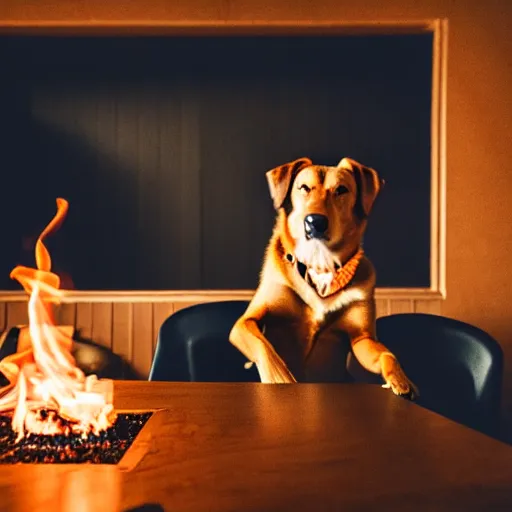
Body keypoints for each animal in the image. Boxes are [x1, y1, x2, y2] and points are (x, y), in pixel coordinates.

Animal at [230, 156, 418, 396]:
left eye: (341, 189)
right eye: (303, 187)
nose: (314, 222)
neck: (319, 263)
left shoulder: (362, 338)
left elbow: (387, 354)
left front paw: (402, 380)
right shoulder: (246, 321)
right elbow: (266, 349)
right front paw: (282, 380)